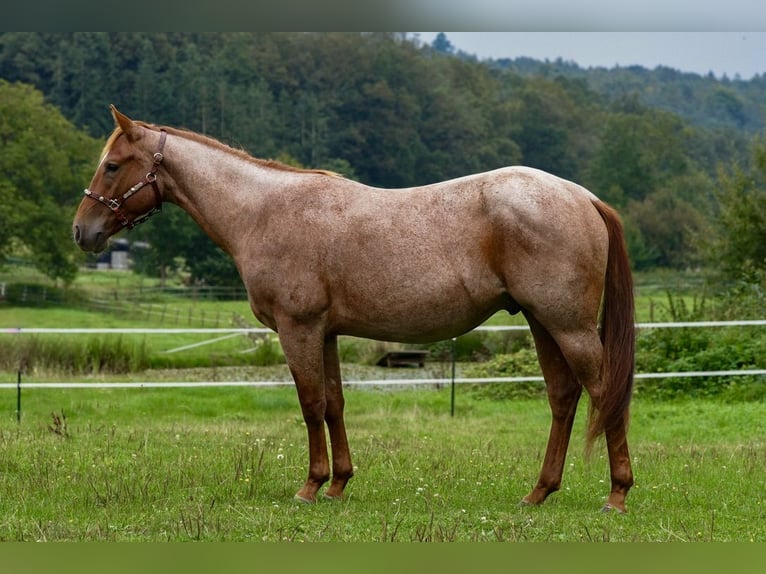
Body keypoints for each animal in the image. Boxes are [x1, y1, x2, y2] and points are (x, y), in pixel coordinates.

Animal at [73, 106, 636, 516]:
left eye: (112, 165)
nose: (83, 231)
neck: (264, 211)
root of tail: (583, 196)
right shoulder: (325, 333)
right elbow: (335, 404)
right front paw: (339, 484)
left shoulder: (297, 330)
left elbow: (310, 405)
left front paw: (310, 486)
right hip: (544, 323)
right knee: (563, 398)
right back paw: (539, 492)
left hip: (568, 326)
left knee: (603, 391)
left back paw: (617, 493)